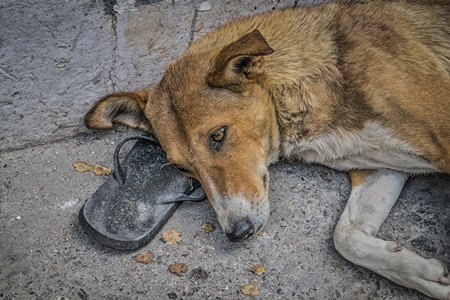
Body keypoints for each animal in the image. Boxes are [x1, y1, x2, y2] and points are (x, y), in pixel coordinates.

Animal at [85, 0, 450, 298]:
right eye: (182, 168)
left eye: (218, 135)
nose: (237, 234)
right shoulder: (379, 167)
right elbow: (345, 236)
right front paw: (422, 273)